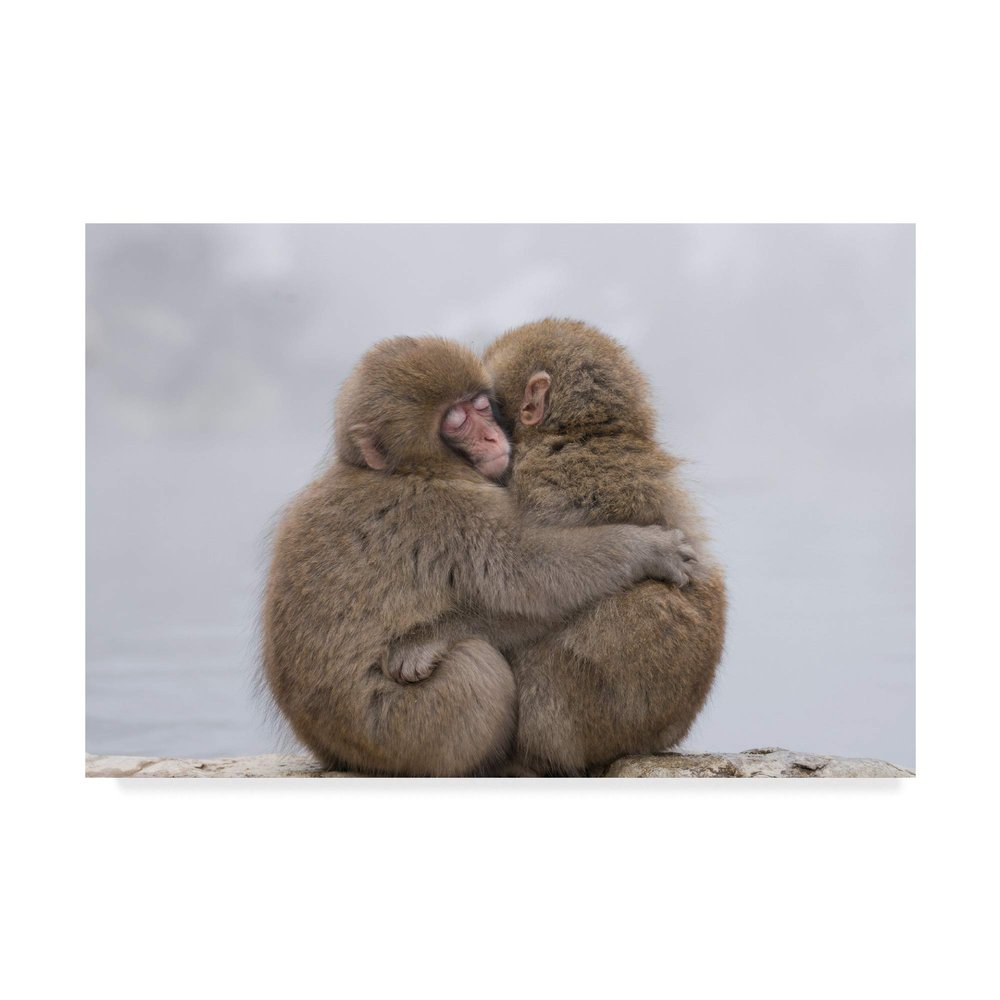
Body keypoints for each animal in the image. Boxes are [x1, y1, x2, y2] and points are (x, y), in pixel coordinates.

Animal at [261, 335, 697, 777]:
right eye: (456, 421)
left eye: (482, 406)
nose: (491, 437)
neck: (403, 470)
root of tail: (337, 751)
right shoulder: (446, 509)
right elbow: (529, 580)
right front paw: (649, 549)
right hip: (405, 733)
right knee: (477, 663)